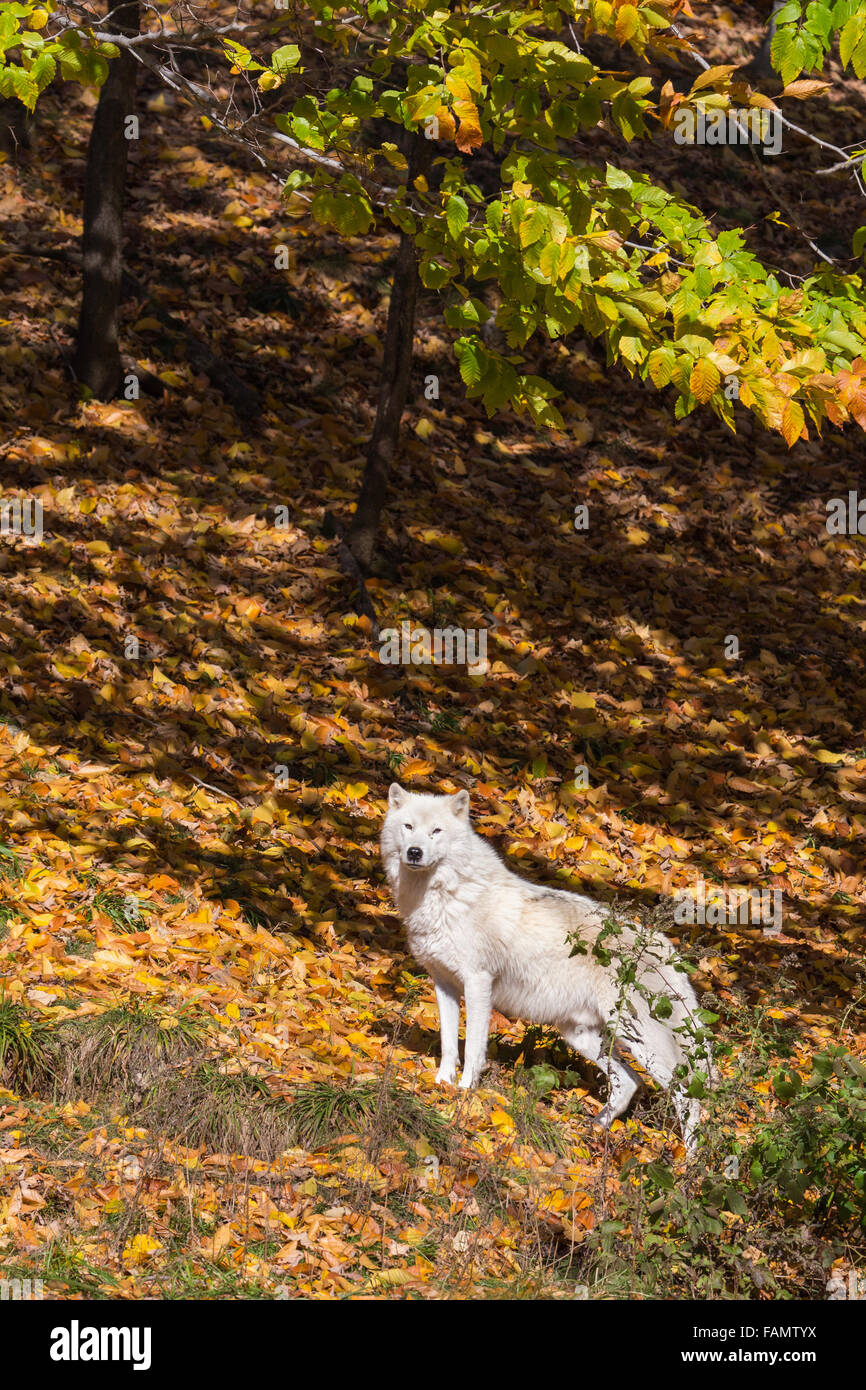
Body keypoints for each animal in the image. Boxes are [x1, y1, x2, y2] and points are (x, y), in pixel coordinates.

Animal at [383, 783, 708, 1150]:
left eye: (436, 831)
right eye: (408, 827)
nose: (414, 852)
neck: (443, 896)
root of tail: (668, 949)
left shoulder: (478, 984)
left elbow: (474, 1049)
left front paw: (464, 1093)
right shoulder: (444, 984)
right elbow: (449, 1044)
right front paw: (441, 1083)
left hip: (640, 1043)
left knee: (689, 1098)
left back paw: (689, 1161)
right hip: (581, 1036)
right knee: (630, 1083)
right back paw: (596, 1128)